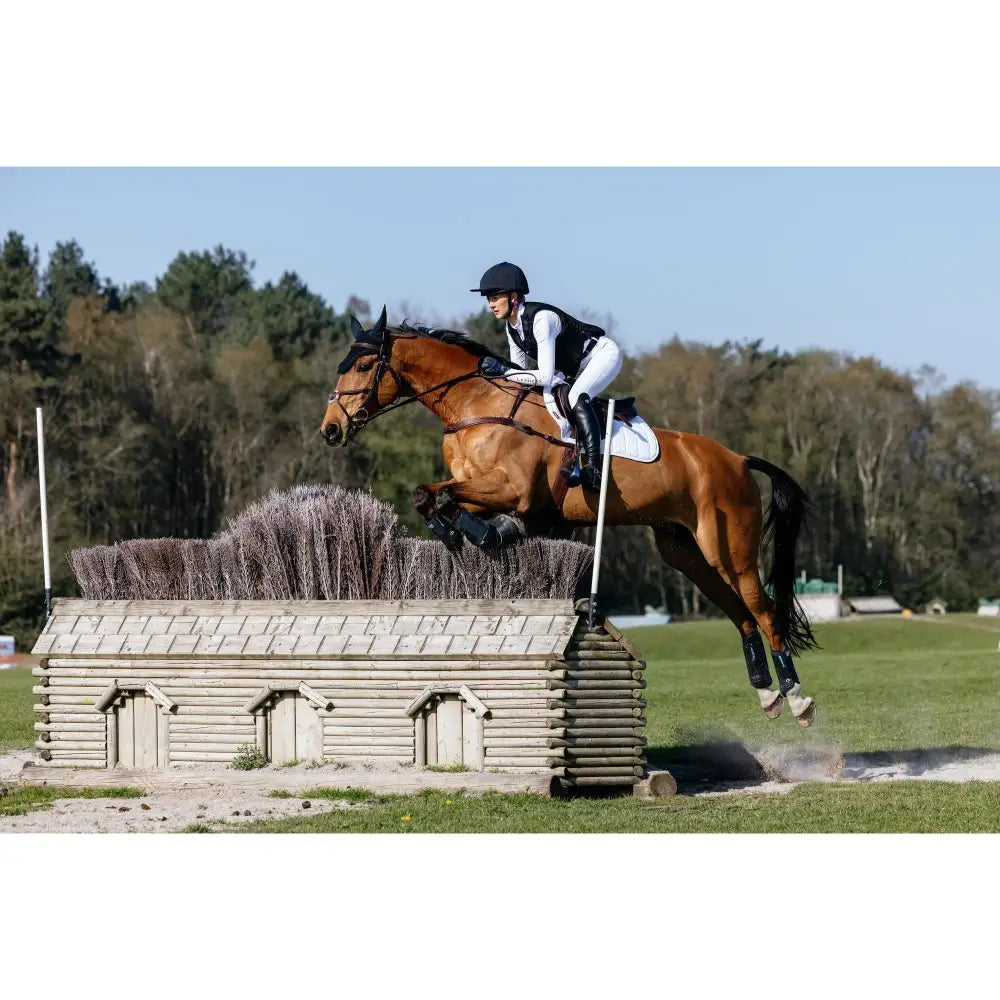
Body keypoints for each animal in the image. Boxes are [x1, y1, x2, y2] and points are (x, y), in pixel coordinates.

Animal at [321, 307, 819, 725]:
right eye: (341, 366)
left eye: (362, 367)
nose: (330, 429)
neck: (475, 408)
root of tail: (736, 458)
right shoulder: (479, 489)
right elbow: (429, 496)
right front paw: (472, 534)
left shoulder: (513, 490)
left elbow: (441, 497)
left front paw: (486, 533)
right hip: (685, 551)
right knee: (741, 614)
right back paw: (768, 695)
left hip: (728, 548)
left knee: (765, 611)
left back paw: (797, 699)